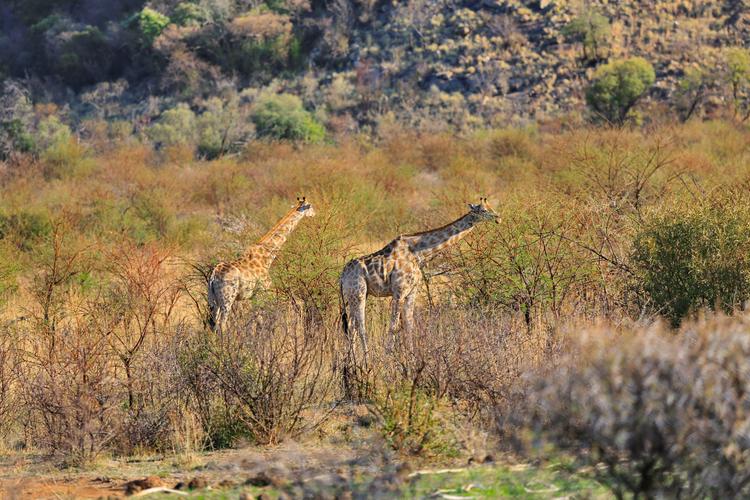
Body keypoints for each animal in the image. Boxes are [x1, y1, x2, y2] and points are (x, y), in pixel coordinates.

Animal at [209, 196, 318, 332]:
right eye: (311, 205)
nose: (315, 214)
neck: (267, 257)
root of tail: (214, 277)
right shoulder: (263, 292)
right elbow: (263, 320)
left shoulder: (254, 296)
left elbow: (257, 321)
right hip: (228, 298)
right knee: (222, 324)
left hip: (213, 300)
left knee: (213, 324)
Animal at [340, 197, 500, 354]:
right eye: (483, 210)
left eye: (491, 207)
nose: (498, 218)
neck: (418, 252)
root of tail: (342, 276)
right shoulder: (399, 292)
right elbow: (393, 326)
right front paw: (389, 356)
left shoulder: (412, 291)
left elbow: (409, 325)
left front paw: (411, 356)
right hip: (358, 293)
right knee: (360, 326)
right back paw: (365, 359)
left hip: (354, 296)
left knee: (351, 327)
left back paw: (351, 360)